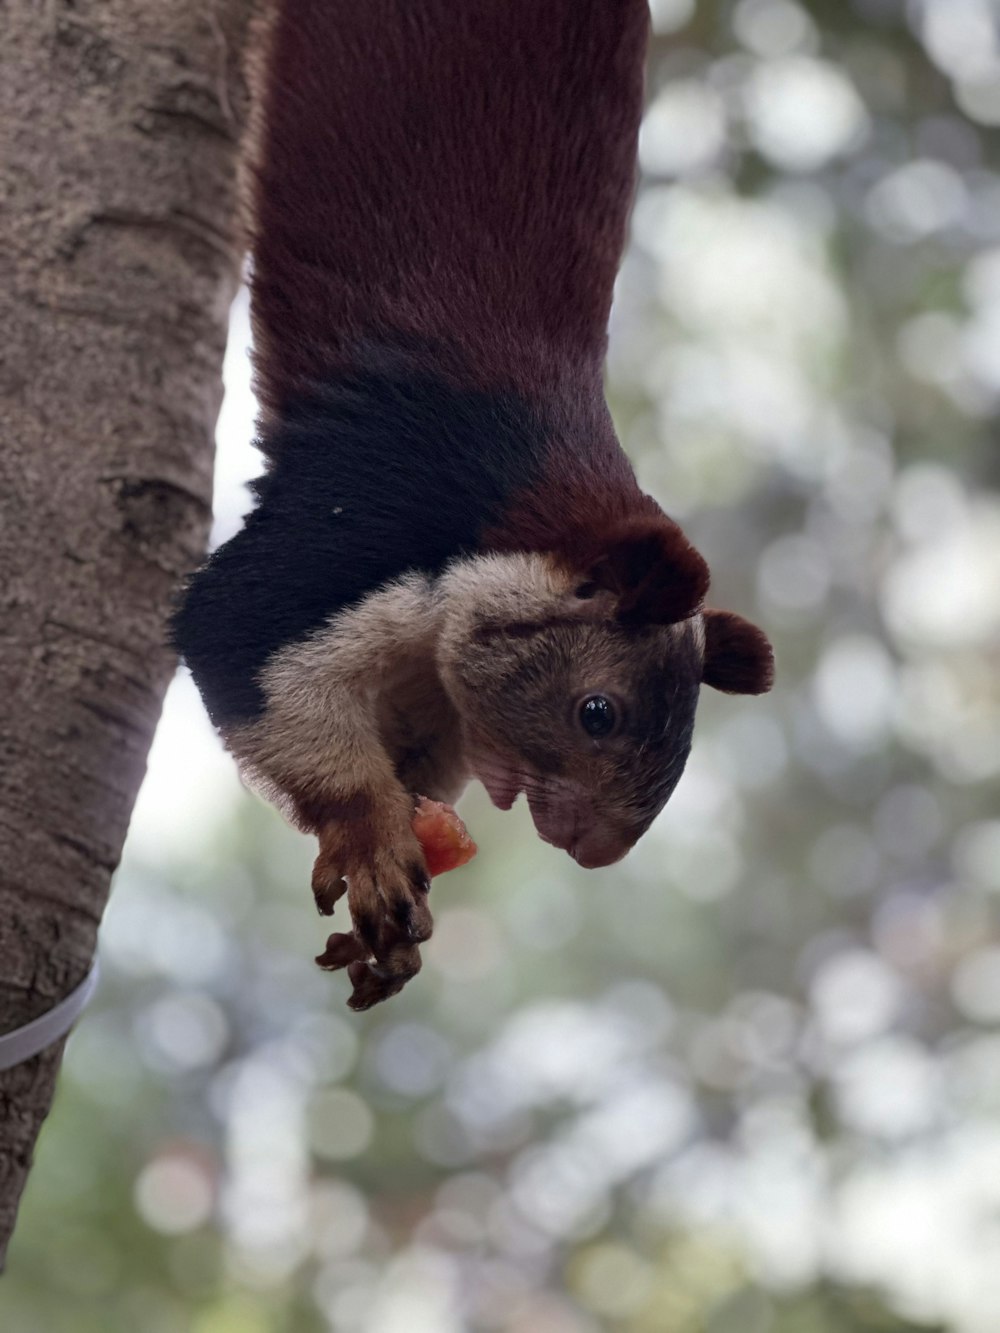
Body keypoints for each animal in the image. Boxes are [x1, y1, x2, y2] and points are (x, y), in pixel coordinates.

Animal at [172, 0, 773, 1007]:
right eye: (597, 711)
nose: (593, 850)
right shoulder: (364, 518)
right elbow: (230, 623)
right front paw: (373, 838)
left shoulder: (427, 691)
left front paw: (385, 912)